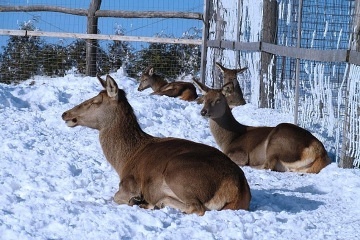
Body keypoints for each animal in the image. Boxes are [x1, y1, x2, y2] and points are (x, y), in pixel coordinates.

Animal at [62, 74, 252, 215]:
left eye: (95, 101)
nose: (65, 114)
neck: (123, 160)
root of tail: (238, 188)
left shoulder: (129, 184)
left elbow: (116, 197)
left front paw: (137, 200)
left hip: (178, 173)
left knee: (197, 207)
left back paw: (151, 203)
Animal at [194, 79, 332, 173]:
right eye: (205, 98)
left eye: (218, 100)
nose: (203, 112)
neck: (229, 139)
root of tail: (319, 151)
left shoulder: (239, 152)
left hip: (277, 143)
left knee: (268, 165)